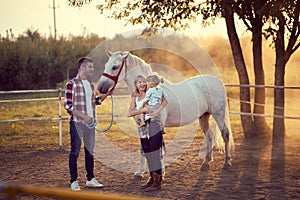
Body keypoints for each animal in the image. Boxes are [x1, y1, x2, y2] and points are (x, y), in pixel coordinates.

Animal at [98, 50, 234, 170]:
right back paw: (206, 162)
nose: (100, 88)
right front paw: (139, 172)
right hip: (204, 116)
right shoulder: (141, 125)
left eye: (115, 67)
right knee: (210, 135)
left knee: (225, 134)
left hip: (219, 114)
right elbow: (143, 148)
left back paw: (227, 162)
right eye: (105, 65)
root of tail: (218, 81)